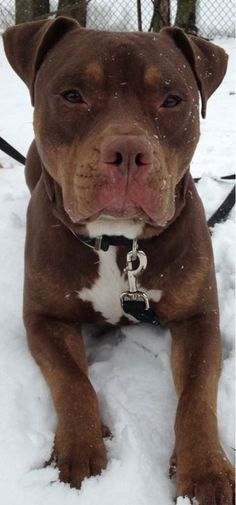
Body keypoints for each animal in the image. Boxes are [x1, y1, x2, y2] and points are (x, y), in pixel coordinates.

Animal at [2, 16, 235, 504]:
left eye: (172, 99)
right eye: (72, 95)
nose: (128, 152)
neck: (118, 244)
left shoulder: (200, 318)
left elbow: (196, 394)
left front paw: (205, 470)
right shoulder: (44, 318)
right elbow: (71, 379)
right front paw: (79, 448)